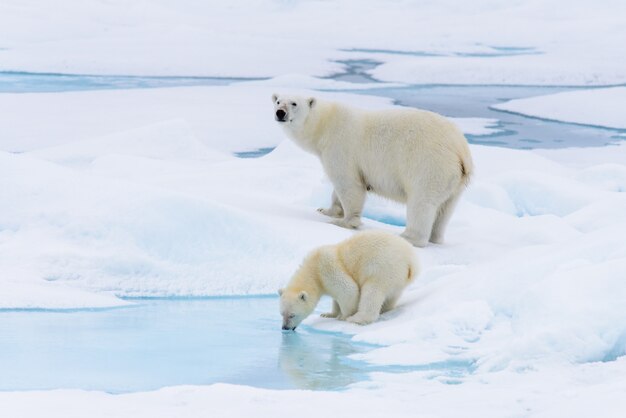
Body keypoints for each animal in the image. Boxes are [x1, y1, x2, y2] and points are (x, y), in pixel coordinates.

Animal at [270, 93, 470, 247]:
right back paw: (436, 237)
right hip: (455, 182)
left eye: (294, 103)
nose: (280, 113)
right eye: (278, 101)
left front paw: (344, 221)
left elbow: (349, 184)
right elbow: (337, 191)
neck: (325, 124)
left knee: (422, 202)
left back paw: (407, 237)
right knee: (445, 209)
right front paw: (326, 210)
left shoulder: (341, 146)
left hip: (429, 166)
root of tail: (461, 150)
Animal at [276, 229, 414, 330]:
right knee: (392, 296)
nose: (285, 328)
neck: (313, 269)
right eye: (281, 313)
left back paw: (357, 318)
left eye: (292, 315)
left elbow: (348, 290)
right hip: (396, 278)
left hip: (382, 267)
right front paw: (328, 314)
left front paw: (342, 316)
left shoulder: (327, 268)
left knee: (372, 292)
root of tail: (411, 261)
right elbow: (336, 298)